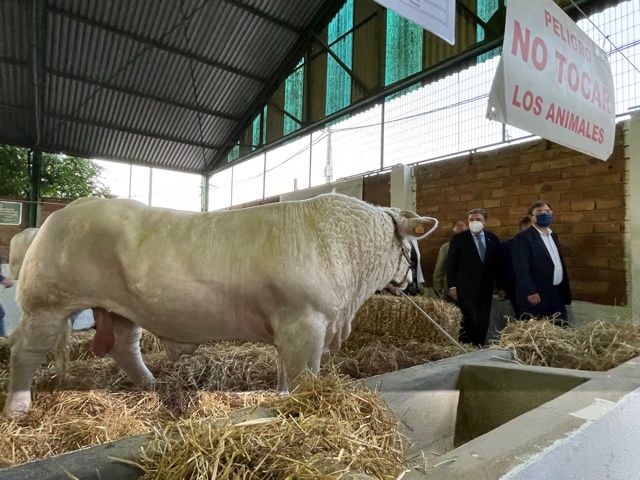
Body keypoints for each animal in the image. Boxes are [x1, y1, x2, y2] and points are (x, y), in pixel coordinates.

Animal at [2, 193, 438, 418]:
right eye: (415, 252)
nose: (419, 289)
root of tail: (60, 215)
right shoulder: (305, 323)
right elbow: (303, 376)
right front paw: (303, 404)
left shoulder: (291, 327)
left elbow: (285, 373)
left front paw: (280, 398)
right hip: (47, 304)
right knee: (25, 351)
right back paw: (18, 407)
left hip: (122, 310)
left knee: (125, 347)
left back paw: (150, 385)